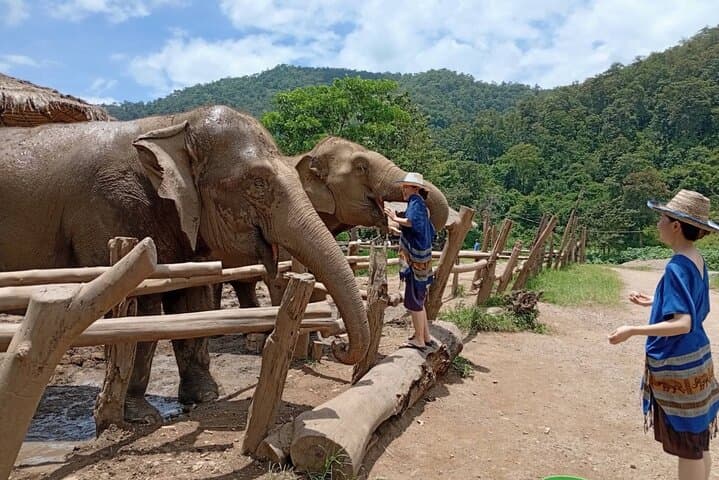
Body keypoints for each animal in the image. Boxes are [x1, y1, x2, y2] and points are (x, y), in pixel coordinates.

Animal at [0, 105, 370, 422]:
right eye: (258, 183)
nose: (339, 345)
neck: (172, 124)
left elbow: (190, 298)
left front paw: (203, 397)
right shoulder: (110, 212)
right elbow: (141, 306)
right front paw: (140, 416)